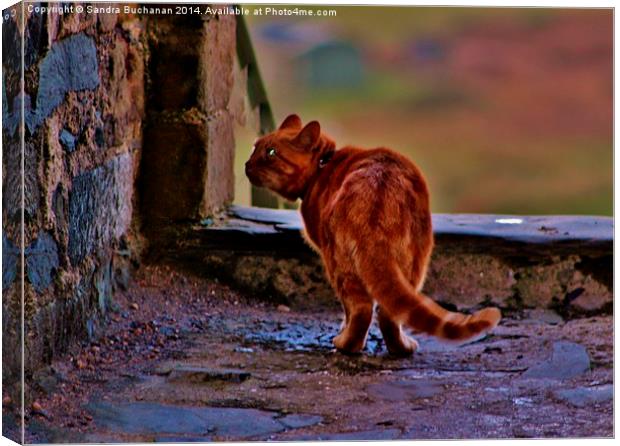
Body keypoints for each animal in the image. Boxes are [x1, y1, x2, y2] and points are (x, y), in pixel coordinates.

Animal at [245, 115, 502, 356]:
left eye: (270, 153)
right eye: (254, 147)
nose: (247, 164)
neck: (323, 165)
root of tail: (377, 191)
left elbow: (347, 312)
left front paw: (342, 330)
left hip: (339, 264)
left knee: (361, 310)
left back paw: (345, 344)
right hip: (415, 261)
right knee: (390, 312)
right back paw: (401, 348)